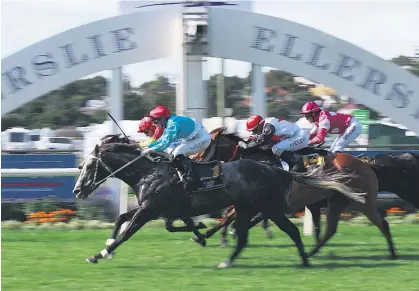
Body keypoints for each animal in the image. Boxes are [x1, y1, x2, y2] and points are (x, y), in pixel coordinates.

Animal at [72, 137, 364, 270]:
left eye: (89, 166)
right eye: (81, 165)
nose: (77, 190)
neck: (149, 172)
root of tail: (274, 169)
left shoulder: (150, 210)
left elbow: (127, 232)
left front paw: (99, 254)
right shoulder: (154, 209)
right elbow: (122, 220)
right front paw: (108, 246)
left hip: (267, 207)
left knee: (290, 230)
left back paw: (304, 259)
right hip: (248, 208)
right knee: (244, 236)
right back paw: (227, 260)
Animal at [192, 129, 398, 258]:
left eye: (207, 146)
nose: (197, 162)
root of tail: (366, 163)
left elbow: (231, 216)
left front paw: (210, 236)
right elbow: (230, 216)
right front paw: (211, 236)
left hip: (361, 201)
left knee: (381, 223)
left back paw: (392, 253)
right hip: (338, 202)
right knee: (330, 229)